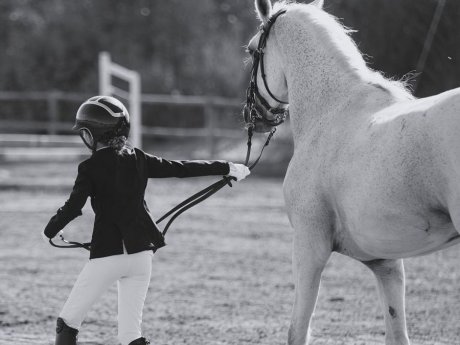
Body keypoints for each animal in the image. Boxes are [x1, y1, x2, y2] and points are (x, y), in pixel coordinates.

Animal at [246, 0, 460, 344]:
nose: (253, 115)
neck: (332, 111)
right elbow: (397, 334)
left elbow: (297, 331)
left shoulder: (309, 247)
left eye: (252, 50)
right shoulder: (386, 263)